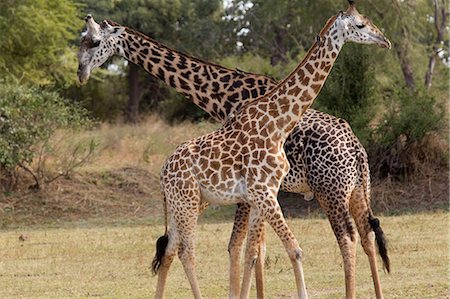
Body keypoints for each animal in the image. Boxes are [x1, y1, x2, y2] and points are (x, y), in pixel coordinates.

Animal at [77, 1, 390, 298]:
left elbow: (247, 249)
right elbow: (250, 249)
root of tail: (357, 148)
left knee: (351, 238)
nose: (81, 72)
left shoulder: (258, 193)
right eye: (85, 40)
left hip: (332, 191)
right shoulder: (257, 193)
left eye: (93, 41)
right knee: (365, 236)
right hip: (349, 191)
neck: (219, 94)